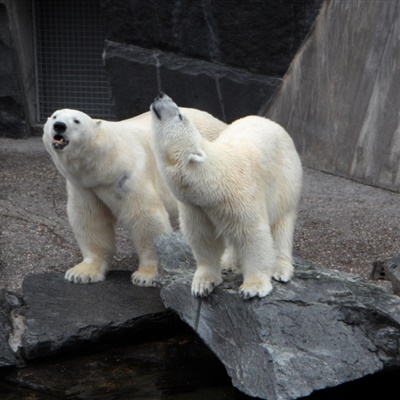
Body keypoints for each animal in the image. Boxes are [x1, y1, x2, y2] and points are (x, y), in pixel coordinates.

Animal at [43, 107, 228, 288]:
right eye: (55, 116)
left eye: (76, 121)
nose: (59, 126)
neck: (103, 163)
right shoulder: (84, 186)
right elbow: (90, 220)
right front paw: (81, 273)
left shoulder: (128, 174)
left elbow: (144, 218)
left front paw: (146, 276)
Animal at [150, 94, 304, 298]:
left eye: (180, 115)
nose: (161, 95)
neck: (213, 180)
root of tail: (272, 122)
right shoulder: (195, 207)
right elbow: (202, 238)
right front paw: (203, 284)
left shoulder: (241, 196)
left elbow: (253, 235)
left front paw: (253, 287)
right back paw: (228, 263)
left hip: (286, 178)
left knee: (281, 224)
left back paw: (280, 269)